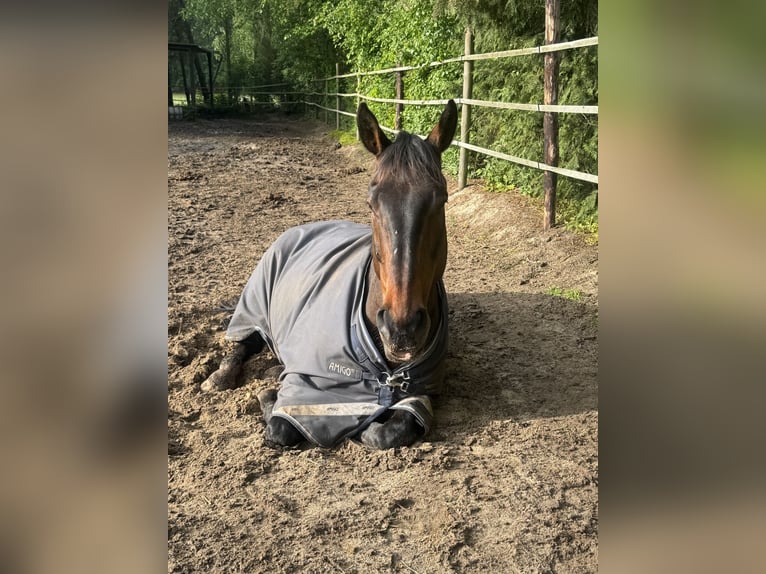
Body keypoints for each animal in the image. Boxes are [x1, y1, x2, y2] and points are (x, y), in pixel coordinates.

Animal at [201, 100, 458, 450]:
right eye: (371, 202)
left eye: (441, 198)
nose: (401, 328)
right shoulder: (306, 388)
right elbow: (280, 428)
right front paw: (268, 395)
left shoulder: (419, 393)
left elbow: (388, 432)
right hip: (253, 309)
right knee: (242, 343)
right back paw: (220, 377)